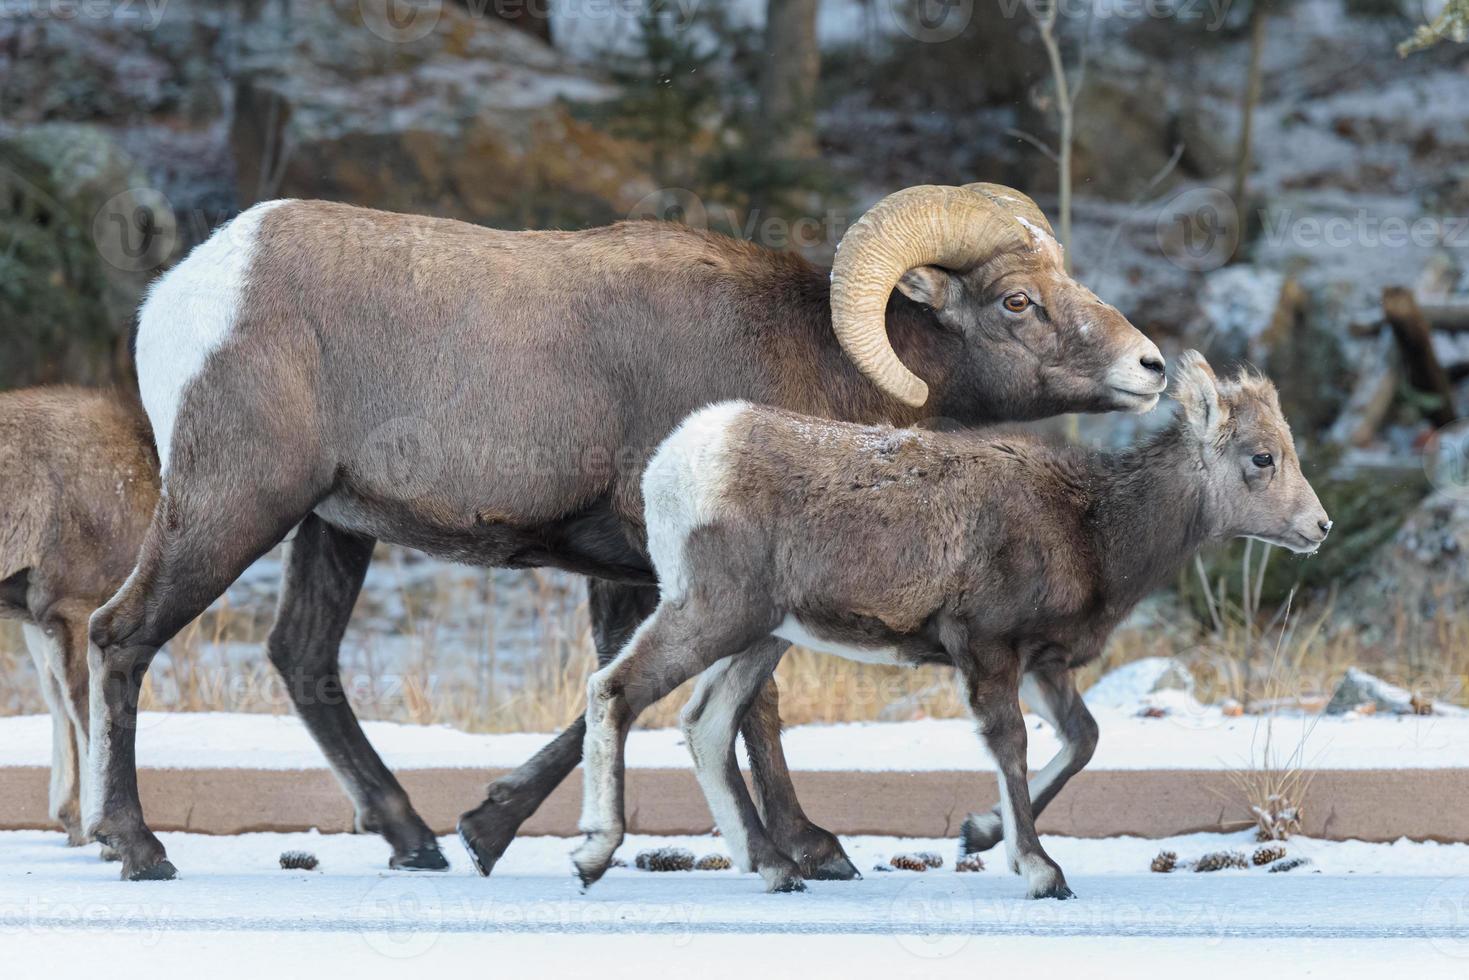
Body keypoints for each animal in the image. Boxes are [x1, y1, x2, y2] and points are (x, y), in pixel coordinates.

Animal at [0, 387, 159, 846]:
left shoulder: (39, 620)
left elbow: (59, 706)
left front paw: (75, 825)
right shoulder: (75, 608)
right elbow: (89, 715)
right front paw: (105, 839)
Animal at [94, 182, 1169, 881]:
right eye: (1017, 301)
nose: (1150, 366)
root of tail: (184, 294)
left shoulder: (639, 579)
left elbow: (624, 701)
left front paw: (488, 827)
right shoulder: (689, 576)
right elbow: (741, 707)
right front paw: (807, 851)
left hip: (332, 529)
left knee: (303, 658)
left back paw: (416, 842)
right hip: (233, 507)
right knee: (121, 636)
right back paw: (137, 849)